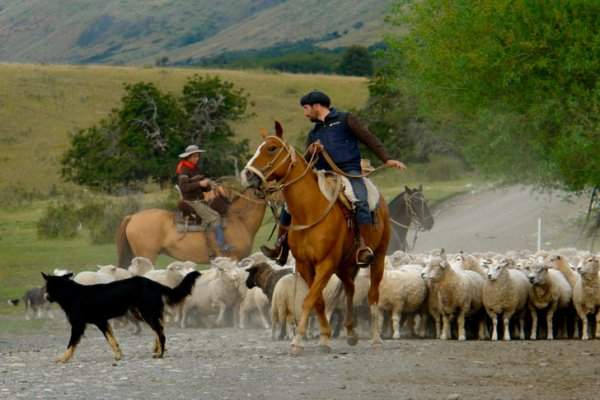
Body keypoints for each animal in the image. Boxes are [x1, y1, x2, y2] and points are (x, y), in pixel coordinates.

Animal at [241, 122, 392, 354]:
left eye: (272, 148)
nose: (247, 175)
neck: (310, 211)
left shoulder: (325, 264)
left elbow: (309, 299)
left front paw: (298, 341)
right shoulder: (305, 265)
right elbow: (318, 301)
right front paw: (324, 338)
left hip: (379, 257)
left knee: (373, 294)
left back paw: (376, 338)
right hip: (344, 264)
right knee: (350, 288)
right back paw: (351, 332)